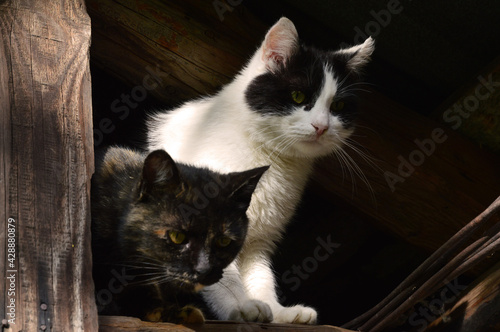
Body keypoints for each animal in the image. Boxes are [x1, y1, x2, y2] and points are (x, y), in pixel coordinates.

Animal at [146, 16, 374, 322]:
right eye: (298, 96)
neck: (271, 161)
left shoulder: (260, 240)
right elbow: (218, 274)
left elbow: (260, 276)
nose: (322, 126)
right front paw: (241, 308)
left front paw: (277, 312)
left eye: (337, 105)